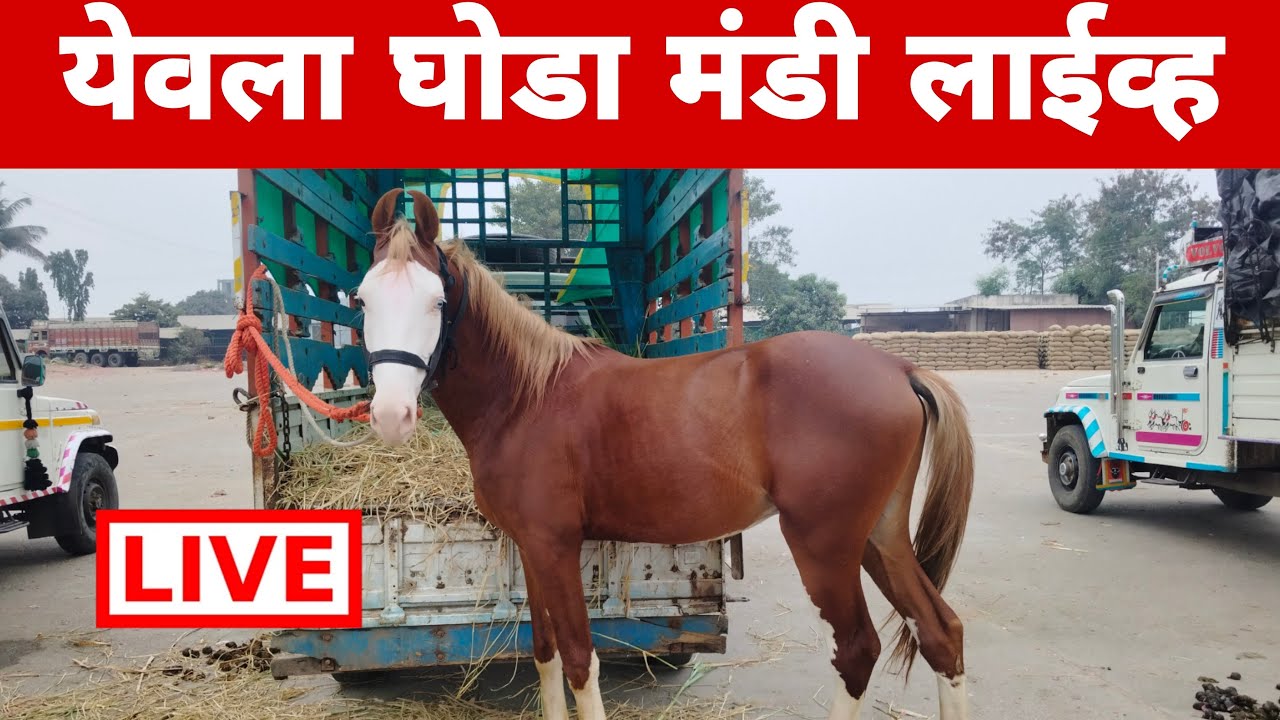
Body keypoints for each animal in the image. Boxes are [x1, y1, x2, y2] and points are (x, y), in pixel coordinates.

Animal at [354, 188, 976, 720]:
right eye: (362, 298)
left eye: (437, 300)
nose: (390, 414)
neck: (528, 395)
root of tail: (899, 369)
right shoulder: (531, 548)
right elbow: (545, 651)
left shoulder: (556, 547)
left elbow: (579, 661)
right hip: (880, 537)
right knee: (940, 632)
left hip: (826, 546)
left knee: (857, 650)